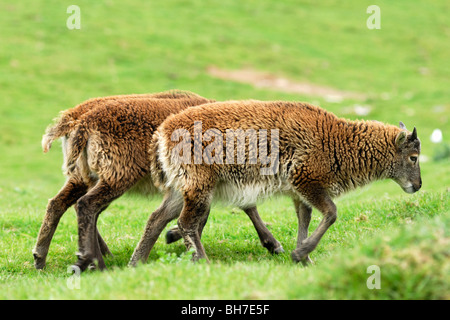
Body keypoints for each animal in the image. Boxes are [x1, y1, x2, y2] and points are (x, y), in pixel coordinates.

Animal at [33, 91, 284, 272]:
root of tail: (79, 121)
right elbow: (241, 207)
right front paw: (274, 245)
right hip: (117, 175)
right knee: (86, 205)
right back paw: (97, 263)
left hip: (84, 175)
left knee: (61, 204)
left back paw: (42, 259)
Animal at [149, 100, 420, 264]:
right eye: (414, 157)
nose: (417, 186)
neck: (337, 139)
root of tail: (163, 132)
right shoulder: (307, 182)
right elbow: (331, 213)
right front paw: (300, 253)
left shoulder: (300, 193)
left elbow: (305, 220)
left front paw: (304, 258)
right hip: (200, 189)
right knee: (186, 223)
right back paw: (202, 260)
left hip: (182, 189)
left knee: (157, 219)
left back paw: (140, 260)